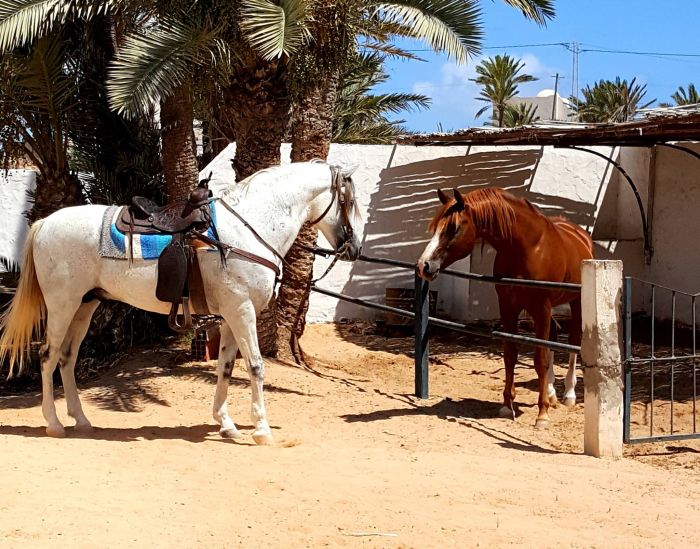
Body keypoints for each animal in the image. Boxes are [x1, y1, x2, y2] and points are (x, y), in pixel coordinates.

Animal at [0, 161, 360, 444]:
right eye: (349, 200)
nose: (354, 248)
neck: (248, 229)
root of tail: (45, 223)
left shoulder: (230, 315)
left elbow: (225, 366)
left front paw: (226, 424)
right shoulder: (242, 311)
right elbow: (255, 366)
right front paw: (261, 429)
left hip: (84, 306)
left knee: (67, 358)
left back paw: (81, 420)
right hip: (62, 305)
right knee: (47, 356)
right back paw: (54, 424)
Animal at [418, 188, 592, 428]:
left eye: (453, 227)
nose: (423, 265)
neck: (527, 248)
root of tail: (581, 236)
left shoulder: (541, 308)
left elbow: (540, 359)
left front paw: (542, 415)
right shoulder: (508, 307)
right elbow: (511, 354)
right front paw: (507, 405)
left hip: (576, 302)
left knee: (573, 342)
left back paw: (569, 395)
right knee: (553, 339)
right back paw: (551, 394)